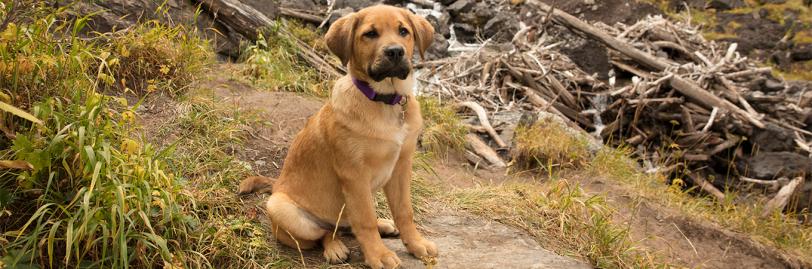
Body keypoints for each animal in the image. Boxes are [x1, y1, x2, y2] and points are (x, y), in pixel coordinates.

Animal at [241, 4, 438, 268]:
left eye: (403, 31)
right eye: (370, 34)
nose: (395, 52)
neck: (384, 101)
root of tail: (275, 187)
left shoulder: (401, 167)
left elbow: (404, 211)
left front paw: (416, 244)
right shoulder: (354, 174)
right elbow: (365, 220)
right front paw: (379, 255)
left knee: (347, 225)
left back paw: (383, 224)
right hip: (282, 209)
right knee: (325, 233)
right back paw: (335, 248)